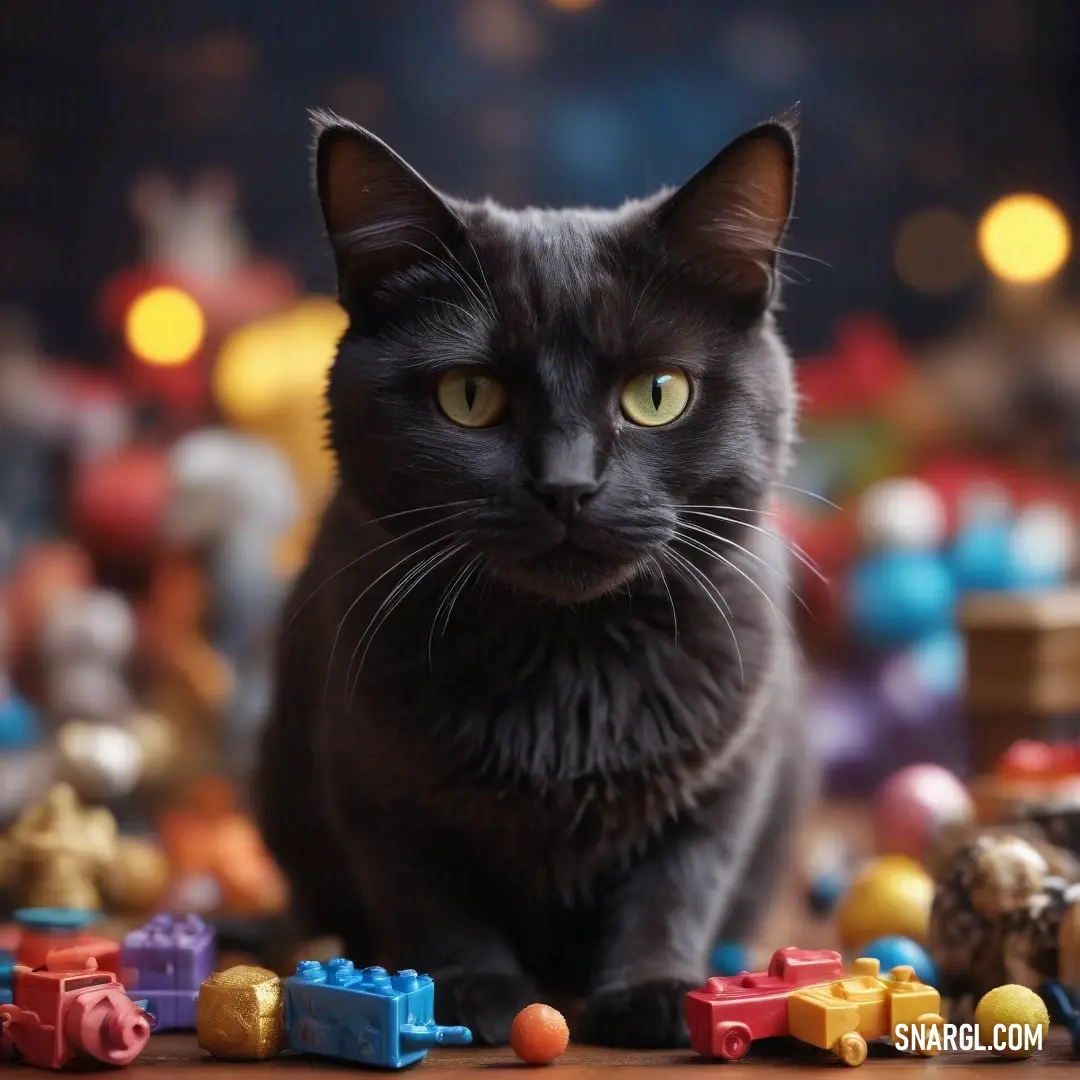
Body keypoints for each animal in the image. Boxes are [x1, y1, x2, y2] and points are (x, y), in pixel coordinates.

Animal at [252, 107, 812, 1045]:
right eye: (469, 396)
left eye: (657, 393)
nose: (567, 484)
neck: (568, 659)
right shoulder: (374, 776)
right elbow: (430, 893)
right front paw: (473, 990)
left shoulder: (732, 771)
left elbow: (678, 883)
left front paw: (658, 992)